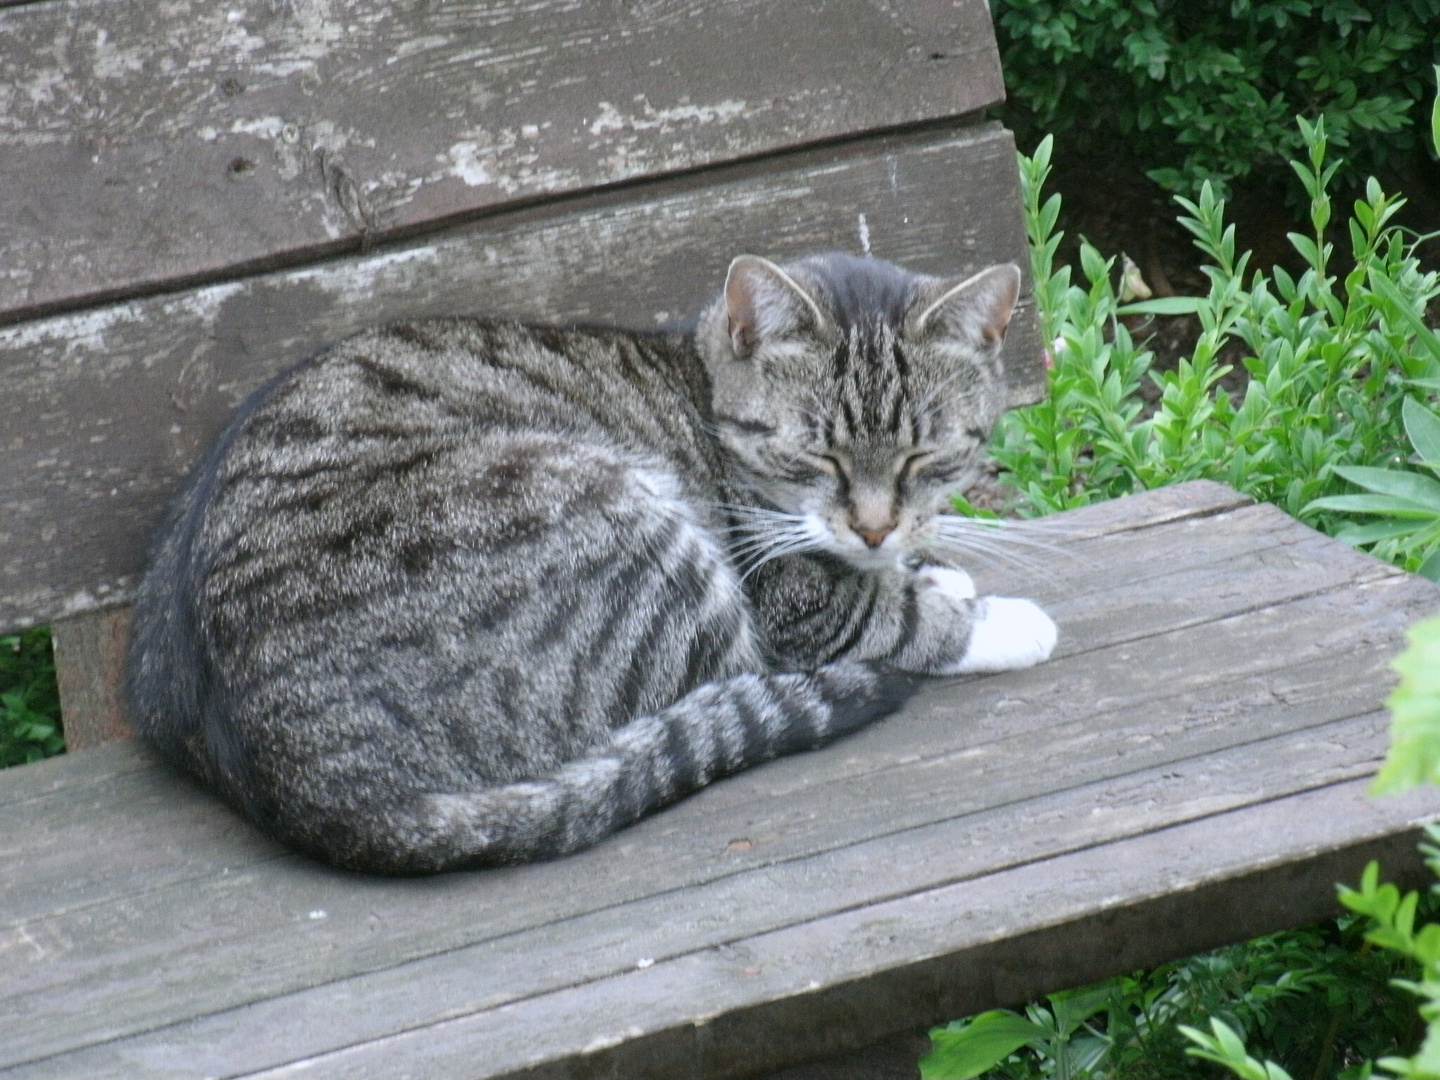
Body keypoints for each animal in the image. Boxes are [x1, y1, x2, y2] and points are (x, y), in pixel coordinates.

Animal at [126, 249, 1059, 875]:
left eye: (924, 458)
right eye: (816, 456)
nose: (871, 528)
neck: (702, 388)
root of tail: (303, 782)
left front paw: (929, 561)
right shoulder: (788, 596)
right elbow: (888, 613)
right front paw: (988, 615)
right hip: (619, 524)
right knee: (733, 680)